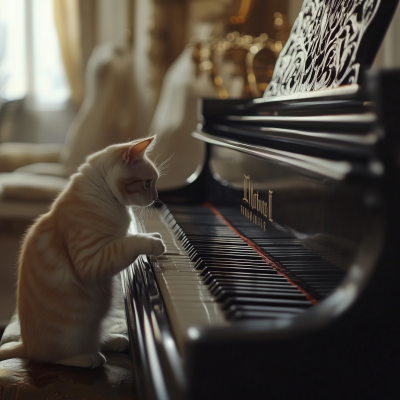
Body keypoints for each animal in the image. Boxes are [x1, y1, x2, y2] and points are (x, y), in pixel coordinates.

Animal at [0, 136, 166, 368]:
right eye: (148, 183)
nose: (156, 197)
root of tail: (25, 344)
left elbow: (127, 238)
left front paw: (156, 235)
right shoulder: (90, 260)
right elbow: (127, 243)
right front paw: (152, 242)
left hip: (96, 324)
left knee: (97, 339)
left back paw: (115, 340)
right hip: (73, 333)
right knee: (52, 357)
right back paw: (88, 357)